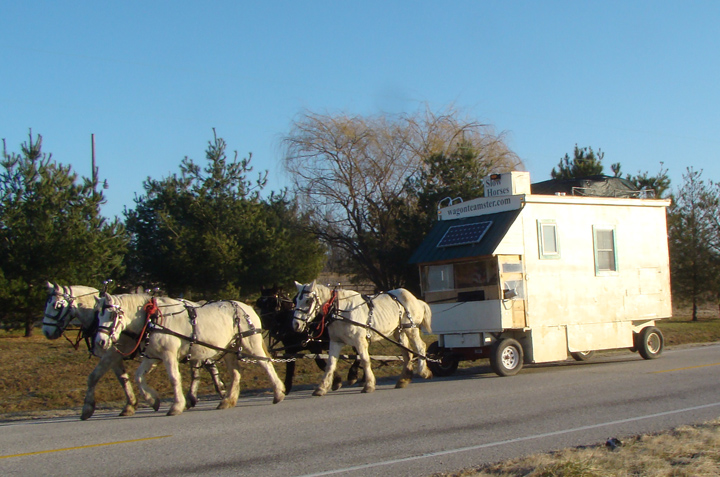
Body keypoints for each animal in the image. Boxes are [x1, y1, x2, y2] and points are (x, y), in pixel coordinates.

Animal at [41, 282, 225, 416]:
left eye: (57, 306)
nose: (46, 331)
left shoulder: (111, 355)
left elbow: (94, 377)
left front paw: (88, 408)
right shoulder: (116, 357)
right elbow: (123, 378)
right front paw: (131, 404)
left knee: (206, 366)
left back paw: (217, 392)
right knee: (201, 366)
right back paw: (201, 395)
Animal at [94, 292, 286, 414]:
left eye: (112, 315)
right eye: (98, 315)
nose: (100, 342)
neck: (153, 318)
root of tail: (246, 307)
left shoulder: (168, 354)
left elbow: (174, 378)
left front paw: (176, 406)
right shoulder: (153, 357)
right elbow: (138, 376)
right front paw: (153, 400)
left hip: (250, 342)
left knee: (265, 364)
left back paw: (278, 393)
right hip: (231, 348)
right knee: (235, 373)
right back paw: (227, 401)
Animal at [292, 280, 434, 396]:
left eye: (308, 300)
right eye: (296, 301)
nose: (296, 324)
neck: (340, 311)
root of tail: (415, 299)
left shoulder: (359, 341)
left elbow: (365, 360)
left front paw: (369, 385)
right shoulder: (336, 342)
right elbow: (331, 364)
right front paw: (321, 388)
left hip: (411, 328)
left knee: (420, 347)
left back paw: (423, 371)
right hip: (399, 332)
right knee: (407, 354)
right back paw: (403, 380)